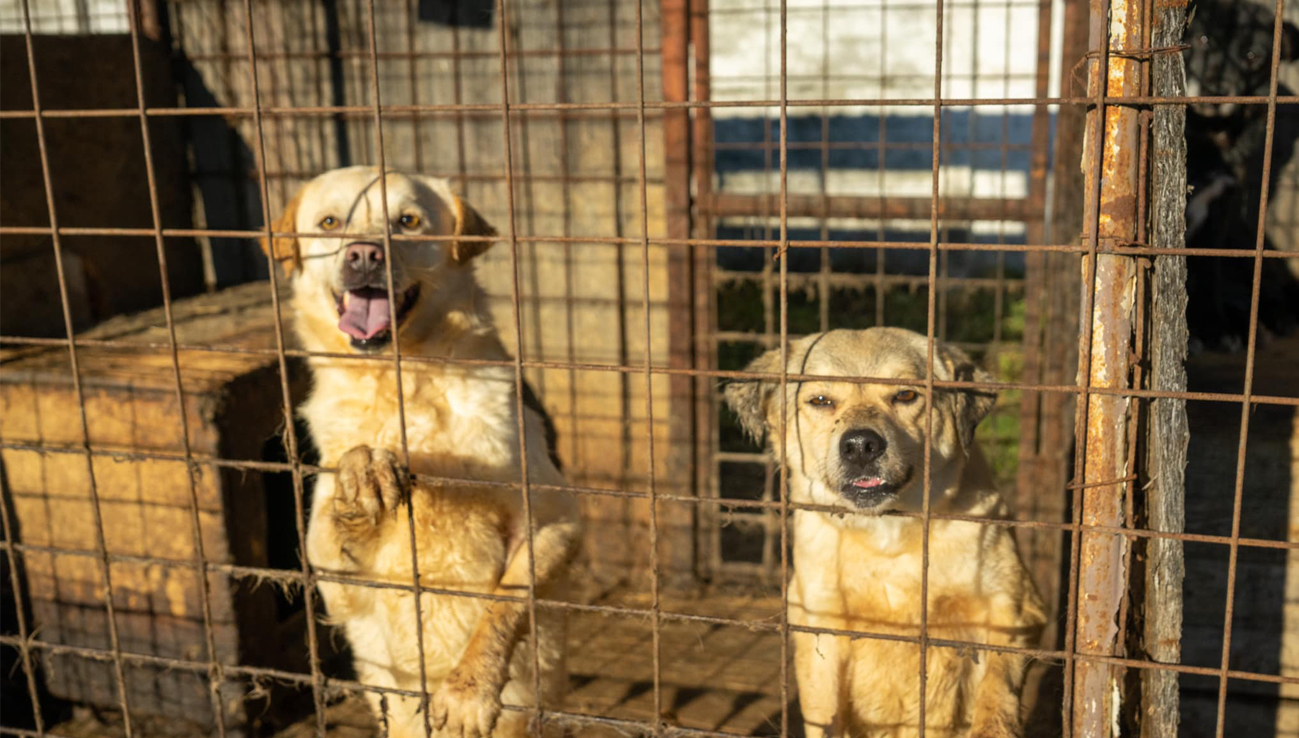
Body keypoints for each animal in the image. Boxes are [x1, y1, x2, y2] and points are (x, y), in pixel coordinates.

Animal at [263, 165, 579, 738]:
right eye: (329, 222)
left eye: (407, 222)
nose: (364, 255)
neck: (400, 381)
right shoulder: (333, 578)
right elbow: (336, 520)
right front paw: (361, 475)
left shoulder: (555, 518)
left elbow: (506, 600)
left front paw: (468, 690)